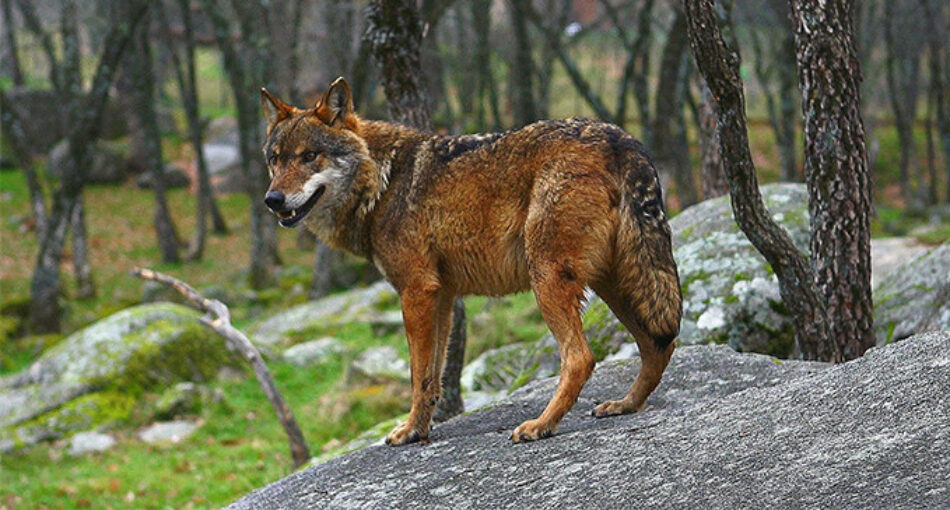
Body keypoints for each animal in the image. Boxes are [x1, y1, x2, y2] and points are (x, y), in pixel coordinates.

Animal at [260, 77, 684, 444]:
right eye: (276, 160)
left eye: (309, 156)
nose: (272, 200)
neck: (382, 181)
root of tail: (619, 138)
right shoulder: (442, 297)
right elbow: (433, 378)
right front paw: (419, 431)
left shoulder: (416, 292)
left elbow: (417, 375)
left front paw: (409, 430)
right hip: (613, 283)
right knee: (658, 344)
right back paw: (626, 404)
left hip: (549, 280)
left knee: (582, 358)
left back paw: (541, 425)